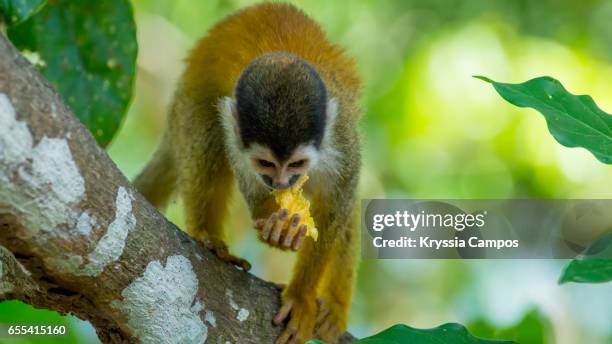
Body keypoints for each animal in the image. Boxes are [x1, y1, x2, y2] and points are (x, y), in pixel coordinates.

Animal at [135, 3, 358, 344]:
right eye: (266, 164)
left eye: (296, 165)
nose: (280, 182)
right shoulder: (235, 132)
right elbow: (243, 174)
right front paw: (274, 224)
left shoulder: (343, 137)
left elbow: (338, 204)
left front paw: (302, 297)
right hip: (187, 106)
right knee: (208, 137)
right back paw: (207, 236)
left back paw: (334, 308)